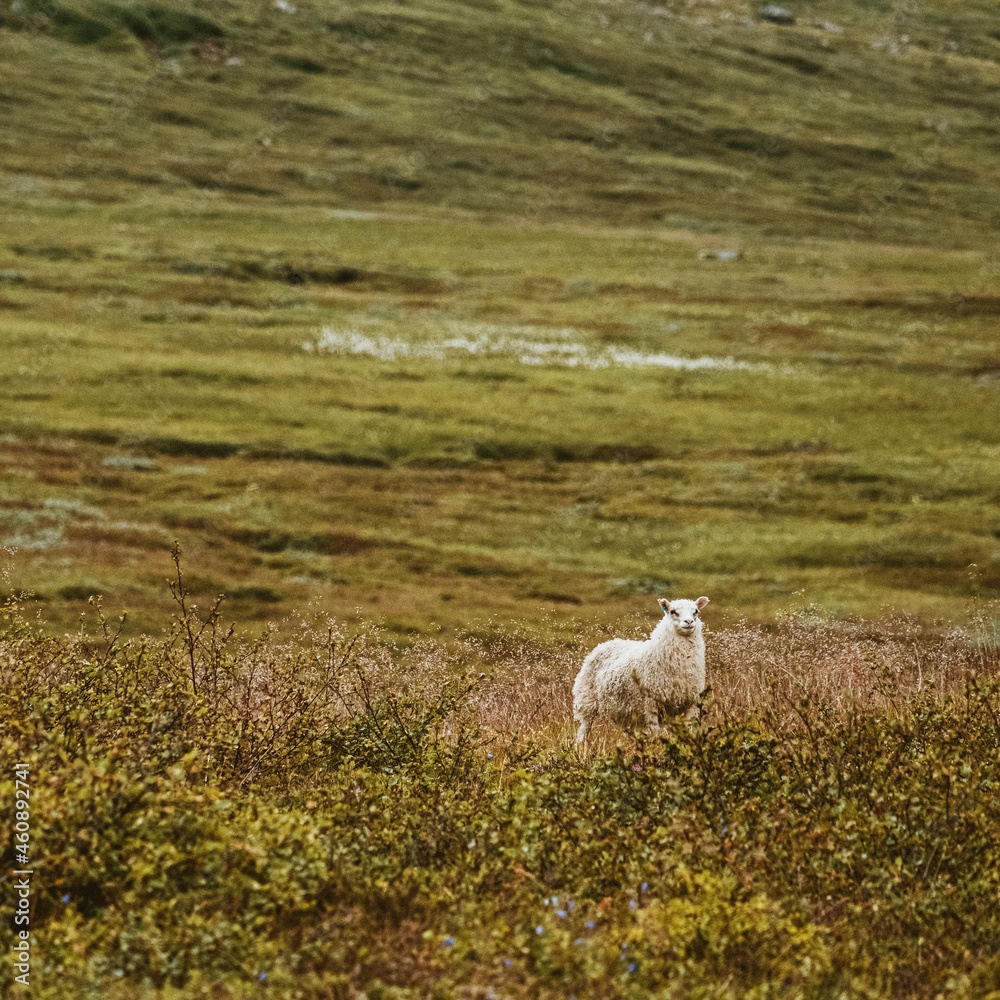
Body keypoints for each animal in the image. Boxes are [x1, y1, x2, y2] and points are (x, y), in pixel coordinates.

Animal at [572, 596, 710, 743]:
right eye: (673, 611)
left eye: (696, 611)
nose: (689, 622)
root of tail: (606, 643)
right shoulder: (651, 704)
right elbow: (655, 732)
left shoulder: (691, 703)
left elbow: (690, 730)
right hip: (586, 699)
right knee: (584, 728)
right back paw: (580, 745)